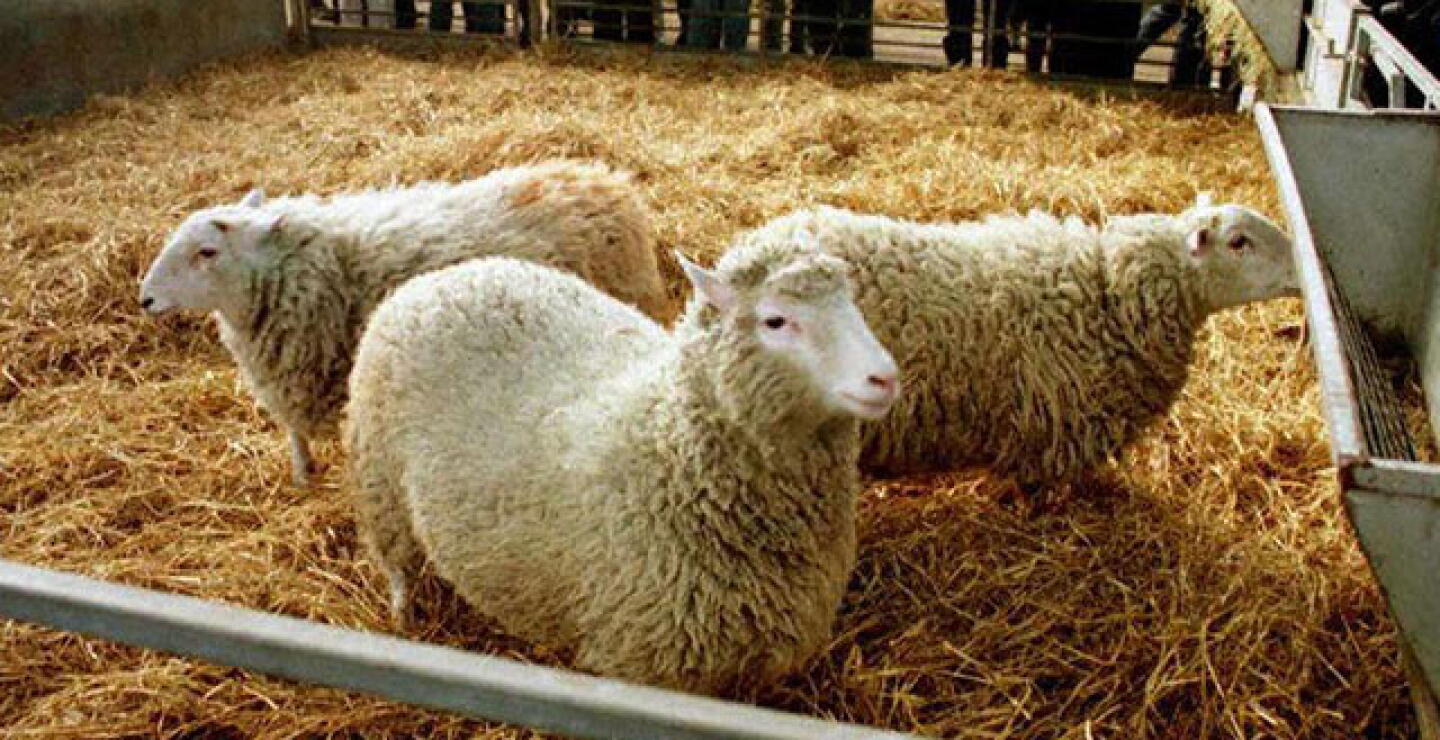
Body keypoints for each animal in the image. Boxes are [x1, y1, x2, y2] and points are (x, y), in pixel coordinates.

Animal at [345, 246, 899, 694]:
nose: (885, 378)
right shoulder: (642, 662)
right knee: (396, 561)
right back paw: (404, 618)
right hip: (379, 475)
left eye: (852, 304)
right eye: (776, 321)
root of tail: (447, 275)